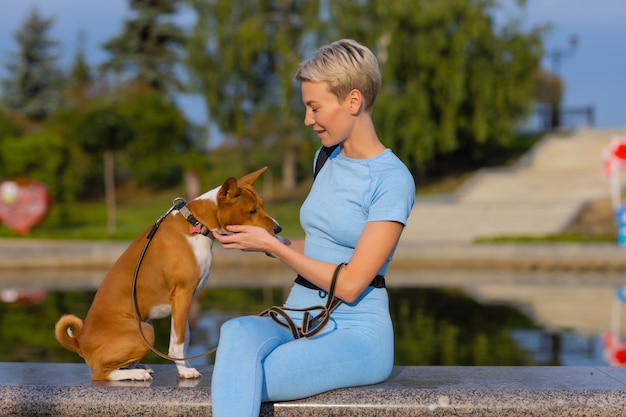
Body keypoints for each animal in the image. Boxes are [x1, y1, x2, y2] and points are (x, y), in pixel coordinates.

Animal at [54, 167, 280, 380]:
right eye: (252, 211)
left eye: (262, 205)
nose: (278, 228)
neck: (195, 223)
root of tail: (80, 342)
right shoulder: (182, 294)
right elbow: (177, 344)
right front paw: (184, 371)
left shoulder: (186, 299)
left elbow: (183, 339)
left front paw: (185, 366)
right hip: (145, 330)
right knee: (101, 373)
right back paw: (136, 374)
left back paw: (137, 367)